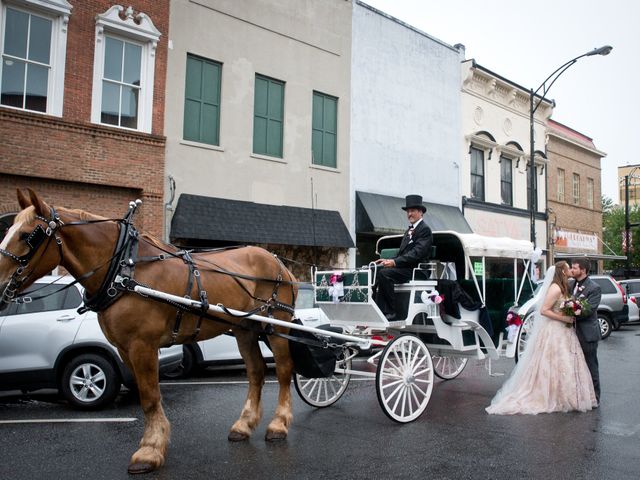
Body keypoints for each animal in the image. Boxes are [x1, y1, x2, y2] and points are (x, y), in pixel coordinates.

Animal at [0, 189, 298, 474]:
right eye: (9, 229)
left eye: (28, 235)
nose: (0, 284)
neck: (124, 269)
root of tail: (280, 264)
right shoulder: (124, 347)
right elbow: (146, 396)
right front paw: (153, 443)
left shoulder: (142, 344)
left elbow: (150, 397)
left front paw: (150, 451)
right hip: (244, 328)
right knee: (256, 371)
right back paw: (243, 425)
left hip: (276, 324)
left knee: (284, 370)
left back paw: (278, 424)